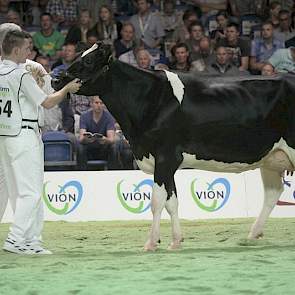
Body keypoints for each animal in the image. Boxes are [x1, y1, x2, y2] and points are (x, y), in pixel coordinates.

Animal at [52, 43, 295, 252]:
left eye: (89, 59)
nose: (56, 78)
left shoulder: (165, 156)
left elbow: (157, 202)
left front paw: (151, 242)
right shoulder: (165, 163)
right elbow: (172, 202)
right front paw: (176, 241)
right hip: (271, 158)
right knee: (272, 193)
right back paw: (253, 234)